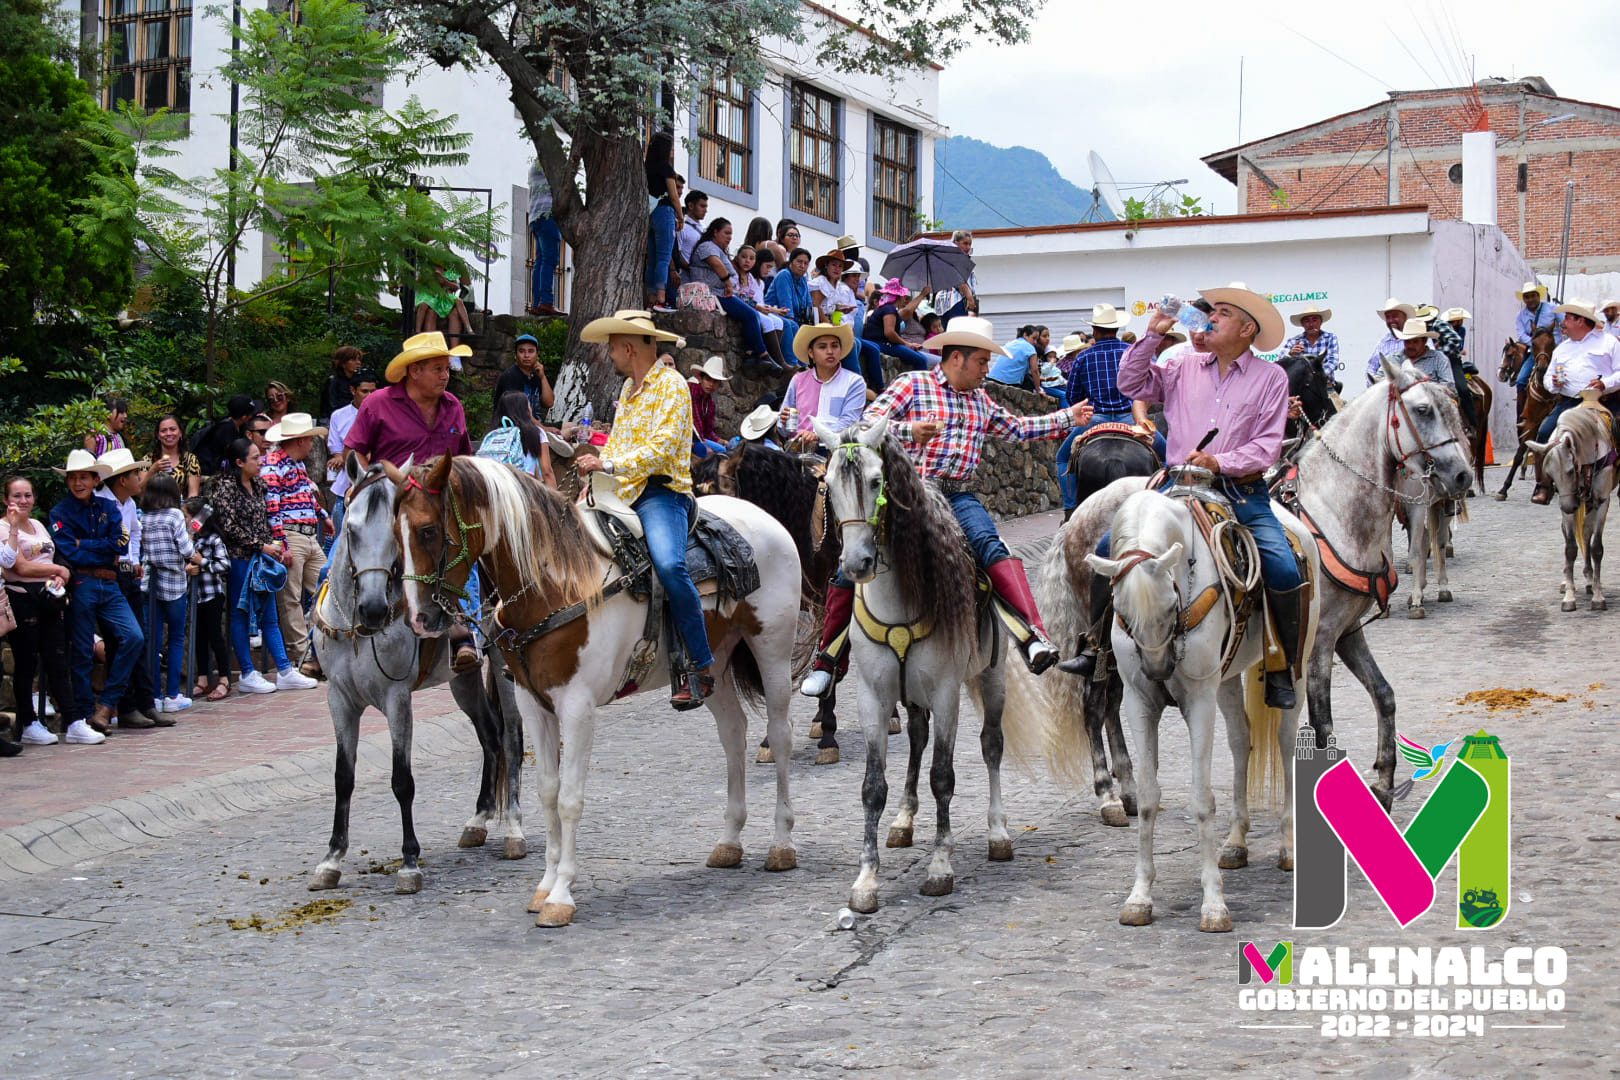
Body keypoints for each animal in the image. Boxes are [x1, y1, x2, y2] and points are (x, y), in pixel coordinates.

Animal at [306, 463, 521, 893]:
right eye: (351, 529)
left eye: (396, 533)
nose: (373, 608)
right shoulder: (339, 700)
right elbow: (343, 777)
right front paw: (332, 858)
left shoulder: (397, 699)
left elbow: (402, 780)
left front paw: (409, 862)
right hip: (462, 680)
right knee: (489, 736)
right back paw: (478, 820)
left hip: (504, 667)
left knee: (510, 739)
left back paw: (513, 829)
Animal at [387, 453, 803, 926]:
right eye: (395, 534)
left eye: (427, 530)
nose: (419, 619)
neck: (557, 583)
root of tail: (764, 518)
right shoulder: (534, 704)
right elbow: (548, 792)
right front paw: (544, 886)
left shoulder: (577, 707)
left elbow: (570, 799)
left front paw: (562, 895)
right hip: (713, 661)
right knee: (733, 735)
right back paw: (729, 841)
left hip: (772, 650)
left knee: (781, 736)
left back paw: (781, 845)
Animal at [816, 417, 1043, 919]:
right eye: (829, 486)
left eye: (877, 482)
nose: (856, 564)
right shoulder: (873, 696)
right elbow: (873, 786)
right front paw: (866, 880)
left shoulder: (945, 692)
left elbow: (944, 776)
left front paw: (940, 866)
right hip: (911, 693)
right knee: (917, 741)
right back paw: (903, 821)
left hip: (990, 678)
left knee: (991, 747)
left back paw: (998, 832)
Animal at [1522, 401, 1613, 612]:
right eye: (1549, 474)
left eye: (1571, 471)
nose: (1568, 507)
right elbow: (1570, 547)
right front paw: (1569, 597)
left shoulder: (1601, 501)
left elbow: (1596, 548)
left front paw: (1598, 596)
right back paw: (1568, 581)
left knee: (1587, 533)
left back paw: (1589, 579)